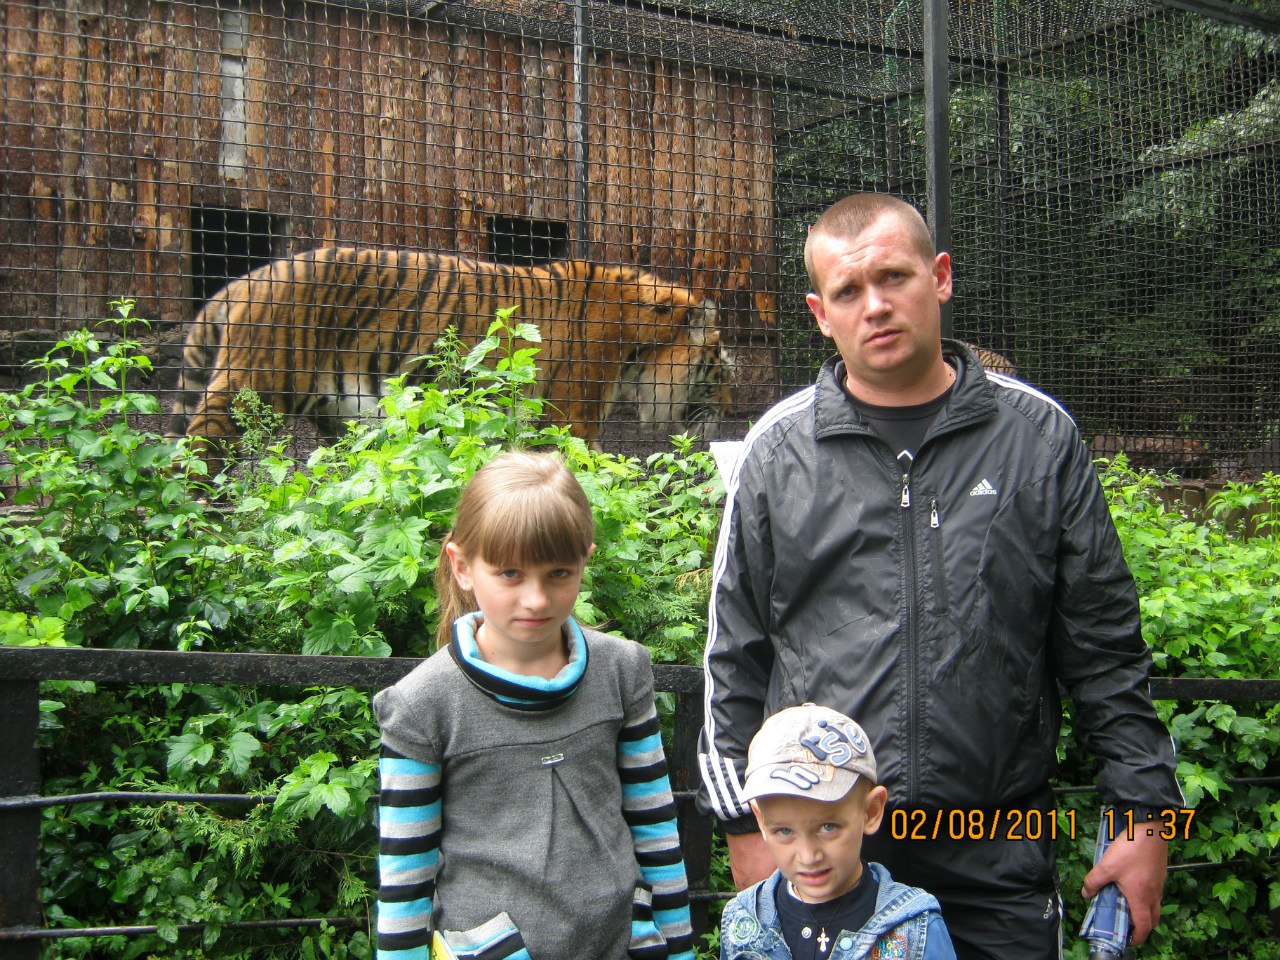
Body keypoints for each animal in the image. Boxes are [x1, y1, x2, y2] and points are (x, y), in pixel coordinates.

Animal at [165, 248, 732, 466]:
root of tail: (244, 280)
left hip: (345, 417)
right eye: (721, 371)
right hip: (253, 388)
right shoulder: (572, 416)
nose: (731, 410)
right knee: (194, 458)